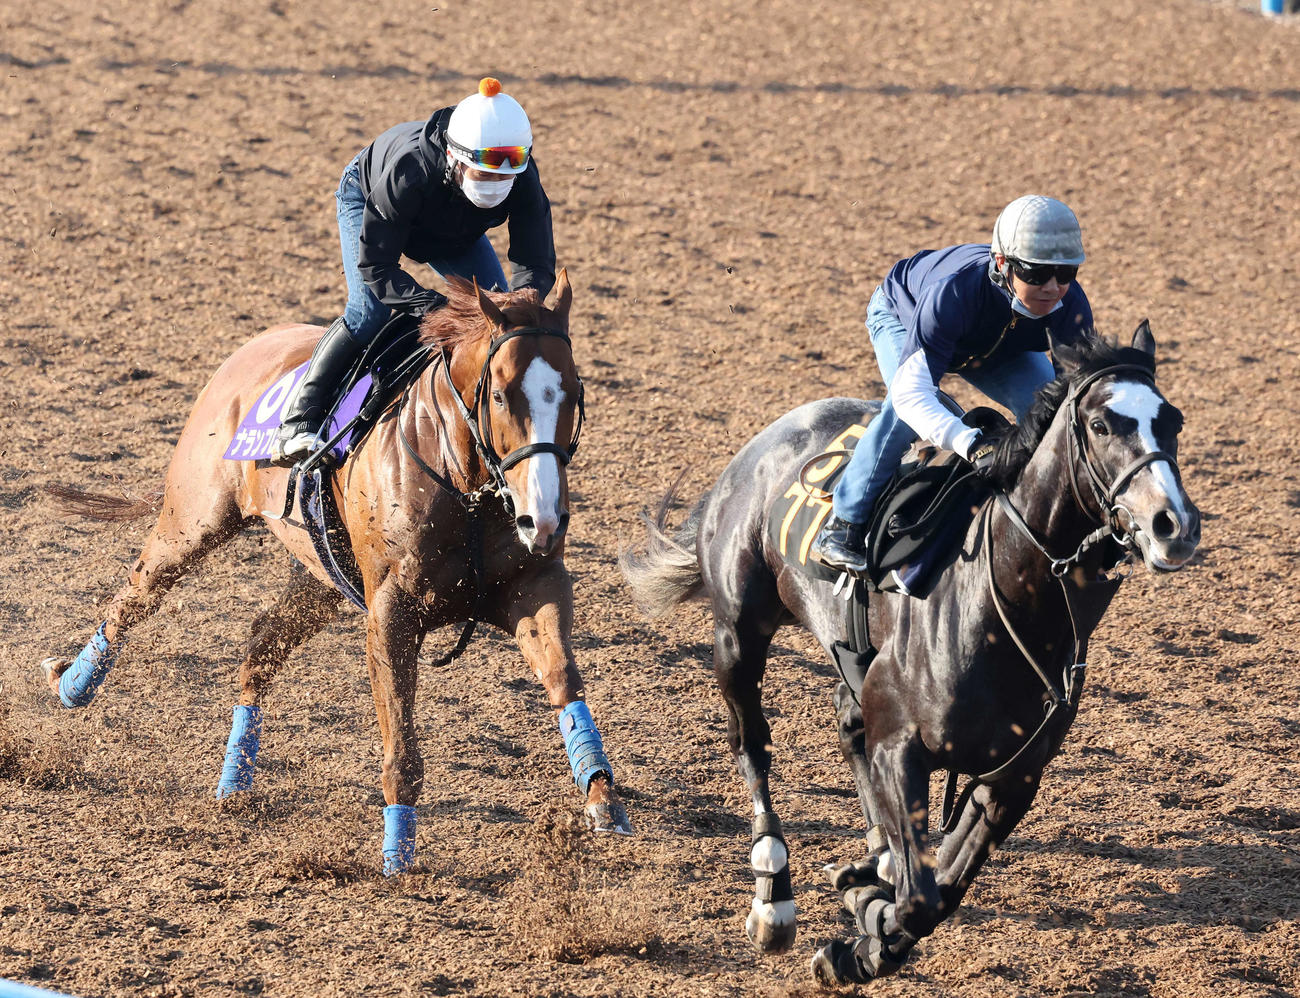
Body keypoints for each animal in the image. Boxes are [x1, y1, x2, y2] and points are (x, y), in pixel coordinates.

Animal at [40, 271, 632, 875]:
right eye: (499, 395)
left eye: (573, 392)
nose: (545, 517)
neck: (462, 481)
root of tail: (246, 353)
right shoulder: (391, 613)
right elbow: (401, 741)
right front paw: (398, 849)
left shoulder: (536, 585)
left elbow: (562, 676)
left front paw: (600, 792)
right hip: (194, 520)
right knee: (138, 594)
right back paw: (74, 682)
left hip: (322, 574)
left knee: (262, 642)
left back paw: (234, 781)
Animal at [620, 322, 1199, 985]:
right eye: (1102, 424)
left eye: (1173, 421)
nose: (1173, 525)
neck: (1004, 602)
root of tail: (761, 443)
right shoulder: (902, 745)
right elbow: (922, 897)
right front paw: (864, 926)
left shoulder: (1012, 779)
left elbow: (941, 890)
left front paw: (865, 927)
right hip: (738, 632)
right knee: (752, 744)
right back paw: (774, 897)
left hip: (852, 660)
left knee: (847, 725)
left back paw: (873, 861)